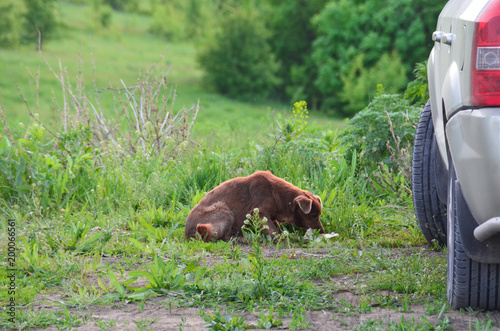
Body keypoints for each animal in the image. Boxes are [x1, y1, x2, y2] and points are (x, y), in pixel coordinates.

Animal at [184, 171, 324, 241]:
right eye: (313, 215)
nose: (322, 231)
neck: (278, 195)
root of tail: (188, 233)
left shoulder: (271, 216)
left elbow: (277, 228)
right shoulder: (260, 213)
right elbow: (273, 231)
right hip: (223, 210)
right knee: (223, 237)